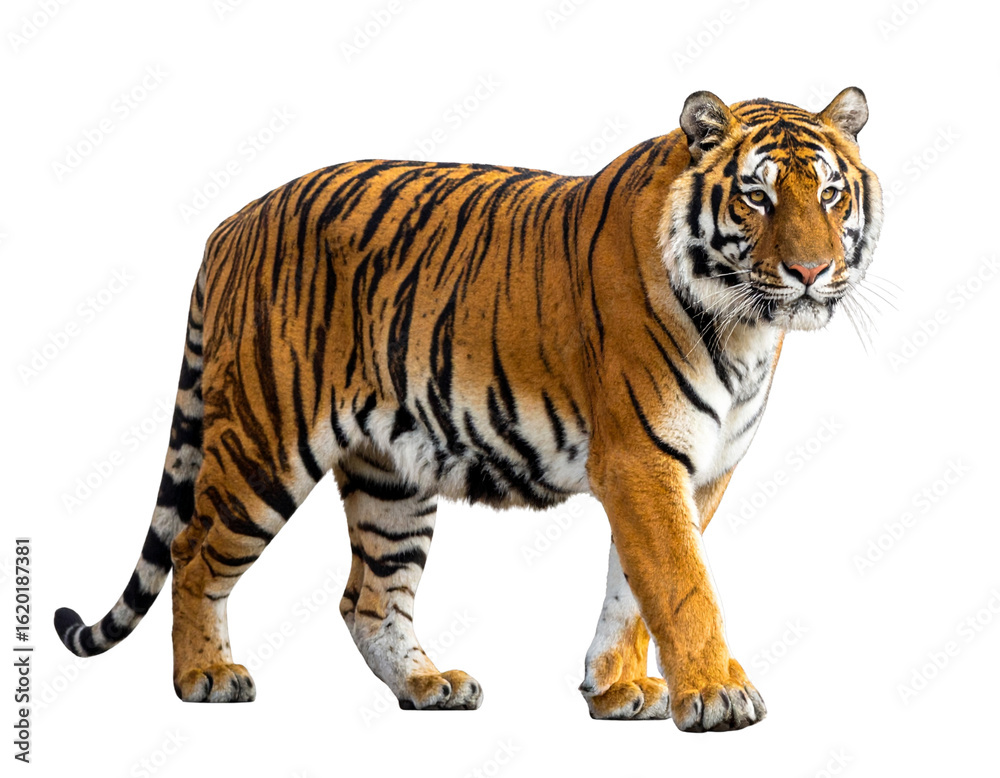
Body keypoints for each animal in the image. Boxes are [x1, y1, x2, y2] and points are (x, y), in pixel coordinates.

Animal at [54, 87, 882, 732]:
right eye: (757, 196)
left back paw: (429, 685)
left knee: (367, 598)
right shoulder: (642, 460)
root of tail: (230, 225)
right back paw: (206, 678)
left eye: (830, 194)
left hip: (390, 476)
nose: (812, 271)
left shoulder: (698, 472)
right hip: (265, 442)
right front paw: (717, 696)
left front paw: (614, 688)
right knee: (194, 552)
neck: (746, 329)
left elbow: (634, 587)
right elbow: (682, 586)